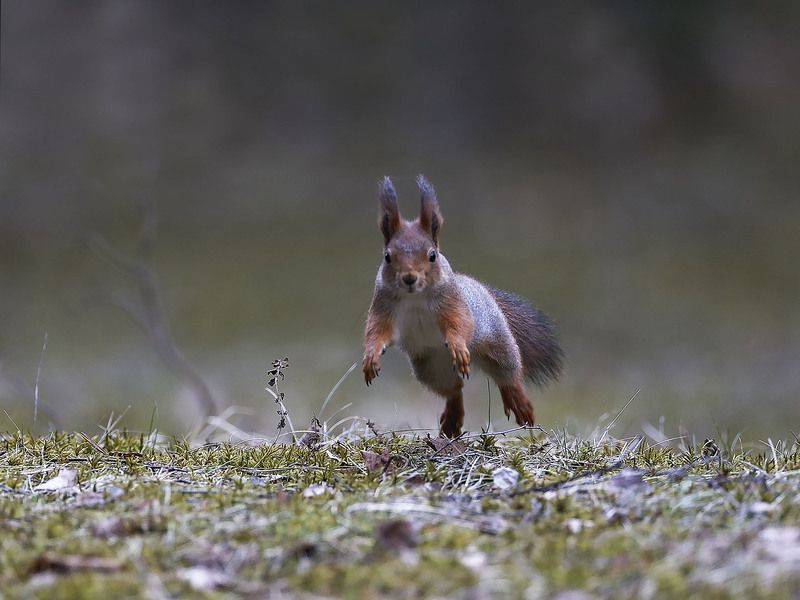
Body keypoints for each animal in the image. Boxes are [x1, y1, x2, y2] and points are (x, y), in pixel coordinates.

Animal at [363, 175, 564, 437]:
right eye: (387, 256)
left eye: (432, 255)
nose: (409, 278)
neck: (415, 297)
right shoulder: (384, 306)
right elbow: (377, 331)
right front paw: (370, 357)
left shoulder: (452, 303)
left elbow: (459, 323)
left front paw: (458, 345)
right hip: (431, 368)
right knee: (454, 389)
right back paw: (451, 420)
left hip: (497, 342)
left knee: (508, 374)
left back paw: (519, 402)